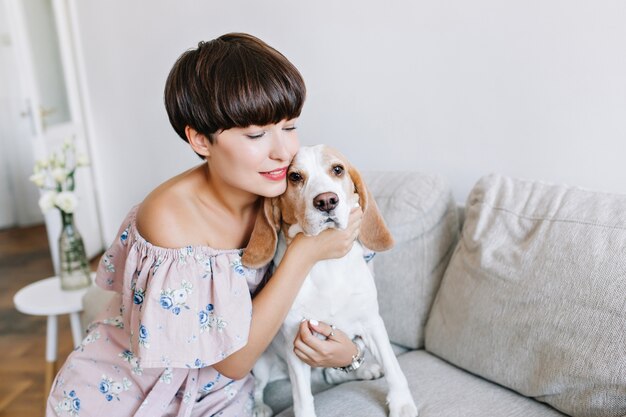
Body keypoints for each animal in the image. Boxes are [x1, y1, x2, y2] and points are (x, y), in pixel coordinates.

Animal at [241, 144, 416, 416]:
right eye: (294, 176)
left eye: (337, 170)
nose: (326, 201)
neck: (326, 266)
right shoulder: (296, 342)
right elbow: (302, 399)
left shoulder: (372, 323)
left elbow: (392, 367)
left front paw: (402, 403)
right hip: (260, 363)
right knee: (258, 388)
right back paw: (259, 407)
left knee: (332, 375)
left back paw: (364, 370)